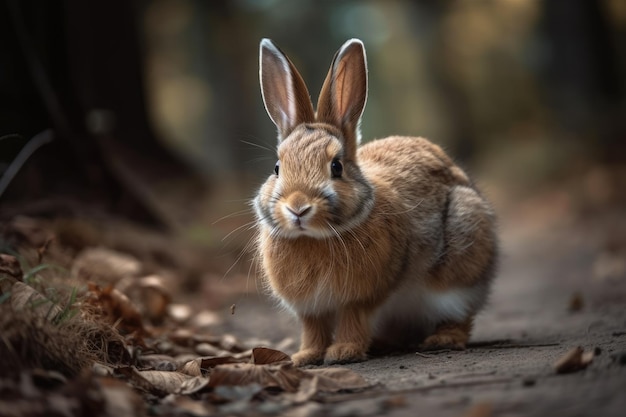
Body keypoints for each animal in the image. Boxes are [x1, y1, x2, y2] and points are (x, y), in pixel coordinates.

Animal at [251, 38, 494, 364]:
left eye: (336, 167)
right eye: (277, 168)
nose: (298, 207)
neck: (315, 237)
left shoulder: (361, 297)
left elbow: (353, 319)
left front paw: (343, 352)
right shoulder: (311, 308)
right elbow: (313, 329)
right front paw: (306, 356)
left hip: (461, 265)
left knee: (461, 315)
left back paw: (443, 338)